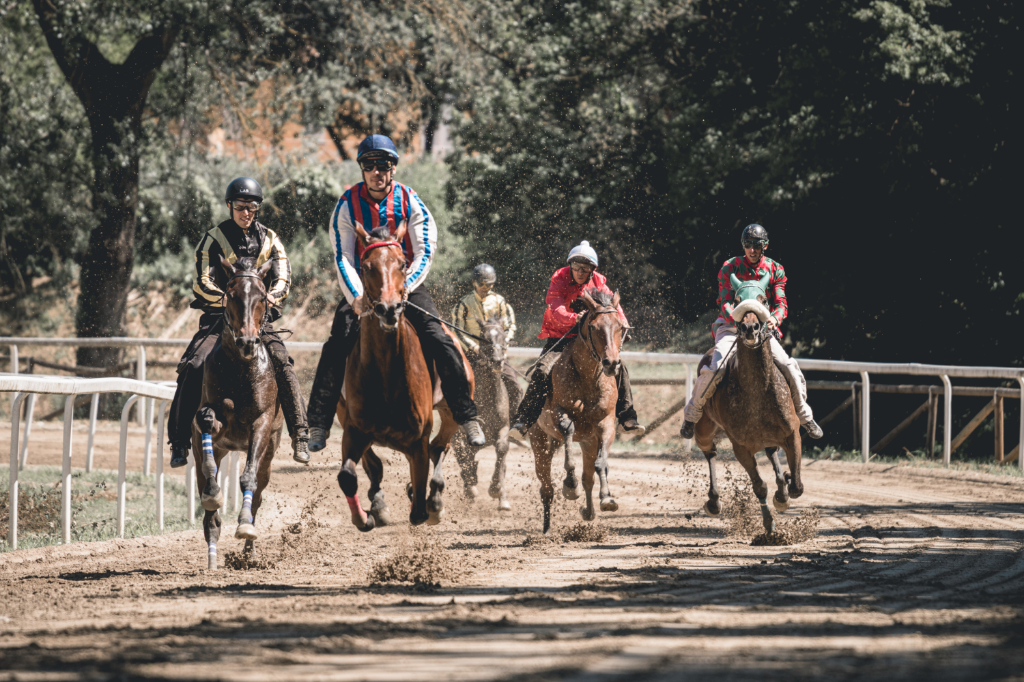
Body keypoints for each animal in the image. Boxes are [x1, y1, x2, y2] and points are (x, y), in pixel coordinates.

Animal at [189, 254, 282, 569]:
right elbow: (206, 423)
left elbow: (248, 478)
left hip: (269, 454)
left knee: (258, 494)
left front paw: (244, 526)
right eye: (231, 296)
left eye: (262, 298)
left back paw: (249, 548)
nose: (247, 342)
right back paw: (212, 556)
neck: (242, 370)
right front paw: (213, 494)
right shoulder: (211, 423)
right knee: (208, 503)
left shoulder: (262, 424)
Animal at [333, 225, 468, 528]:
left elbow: (418, 511)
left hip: (451, 411)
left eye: (403, 264)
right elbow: (349, 474)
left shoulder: (417, 442)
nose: (388, 309)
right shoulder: (354, 430)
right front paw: (366, 516)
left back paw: (435, 500)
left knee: (440, 447)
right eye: (366, 266)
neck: (385, 373)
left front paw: (426, 500)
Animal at [454, 313, 516, 509]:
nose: (496, 361)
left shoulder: (503, 428)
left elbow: (502, 450)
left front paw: (496, 490)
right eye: (483, 337)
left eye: (503, 337)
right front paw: (471, 487)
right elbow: (463, 454)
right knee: (462, 455)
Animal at [532, 286, 626, 532]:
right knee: (546, 487)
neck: (587, 378)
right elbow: (568, 430)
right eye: (593, 327)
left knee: (588, 478)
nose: (611, 363)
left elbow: (600, 464)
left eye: (620, 326)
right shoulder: (559, 413)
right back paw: (547, 528)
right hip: (539, 441)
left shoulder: (605, 425)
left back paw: (589, 512)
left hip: (588, 443)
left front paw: (607, 499)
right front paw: (570, 484)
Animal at [692, 274, 802, 532]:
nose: (750, 327)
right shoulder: (741, 446)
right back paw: (713, 501)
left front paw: (784, 489)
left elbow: (796, 486)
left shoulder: (792, 433)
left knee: (772, 453)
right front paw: (769, 525)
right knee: (710, 451)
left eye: (763, 299)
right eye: (736, 299)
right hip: (704, 429)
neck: (757, 392)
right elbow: (759, 486)